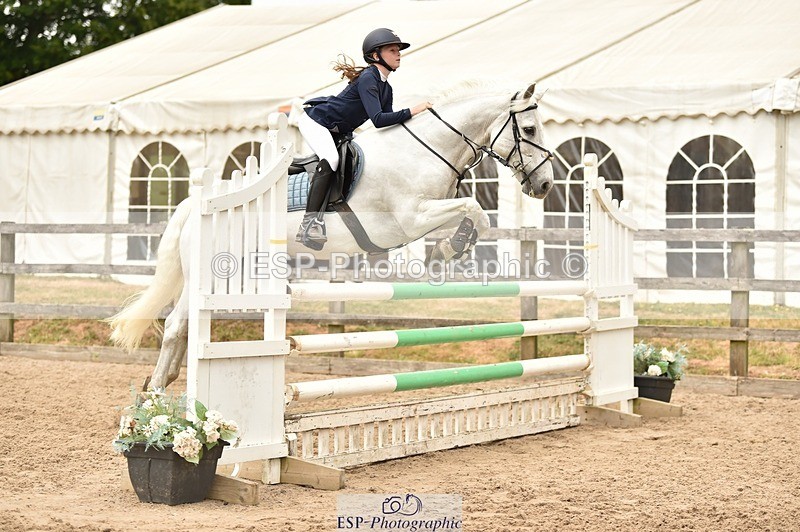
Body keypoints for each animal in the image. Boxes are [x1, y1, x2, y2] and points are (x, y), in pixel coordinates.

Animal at [108, 80, 554, 390]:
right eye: (530, 129)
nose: (546, 185)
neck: (425, 149)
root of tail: (195, 204)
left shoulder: (424, 216)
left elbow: (477, 217)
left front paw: (450, 247)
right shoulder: (410, 218)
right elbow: (475, 209)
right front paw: (451, 248)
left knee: (184, 329)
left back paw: (162, 385)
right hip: (212, 272)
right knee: (176, 326)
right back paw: (158, 394)